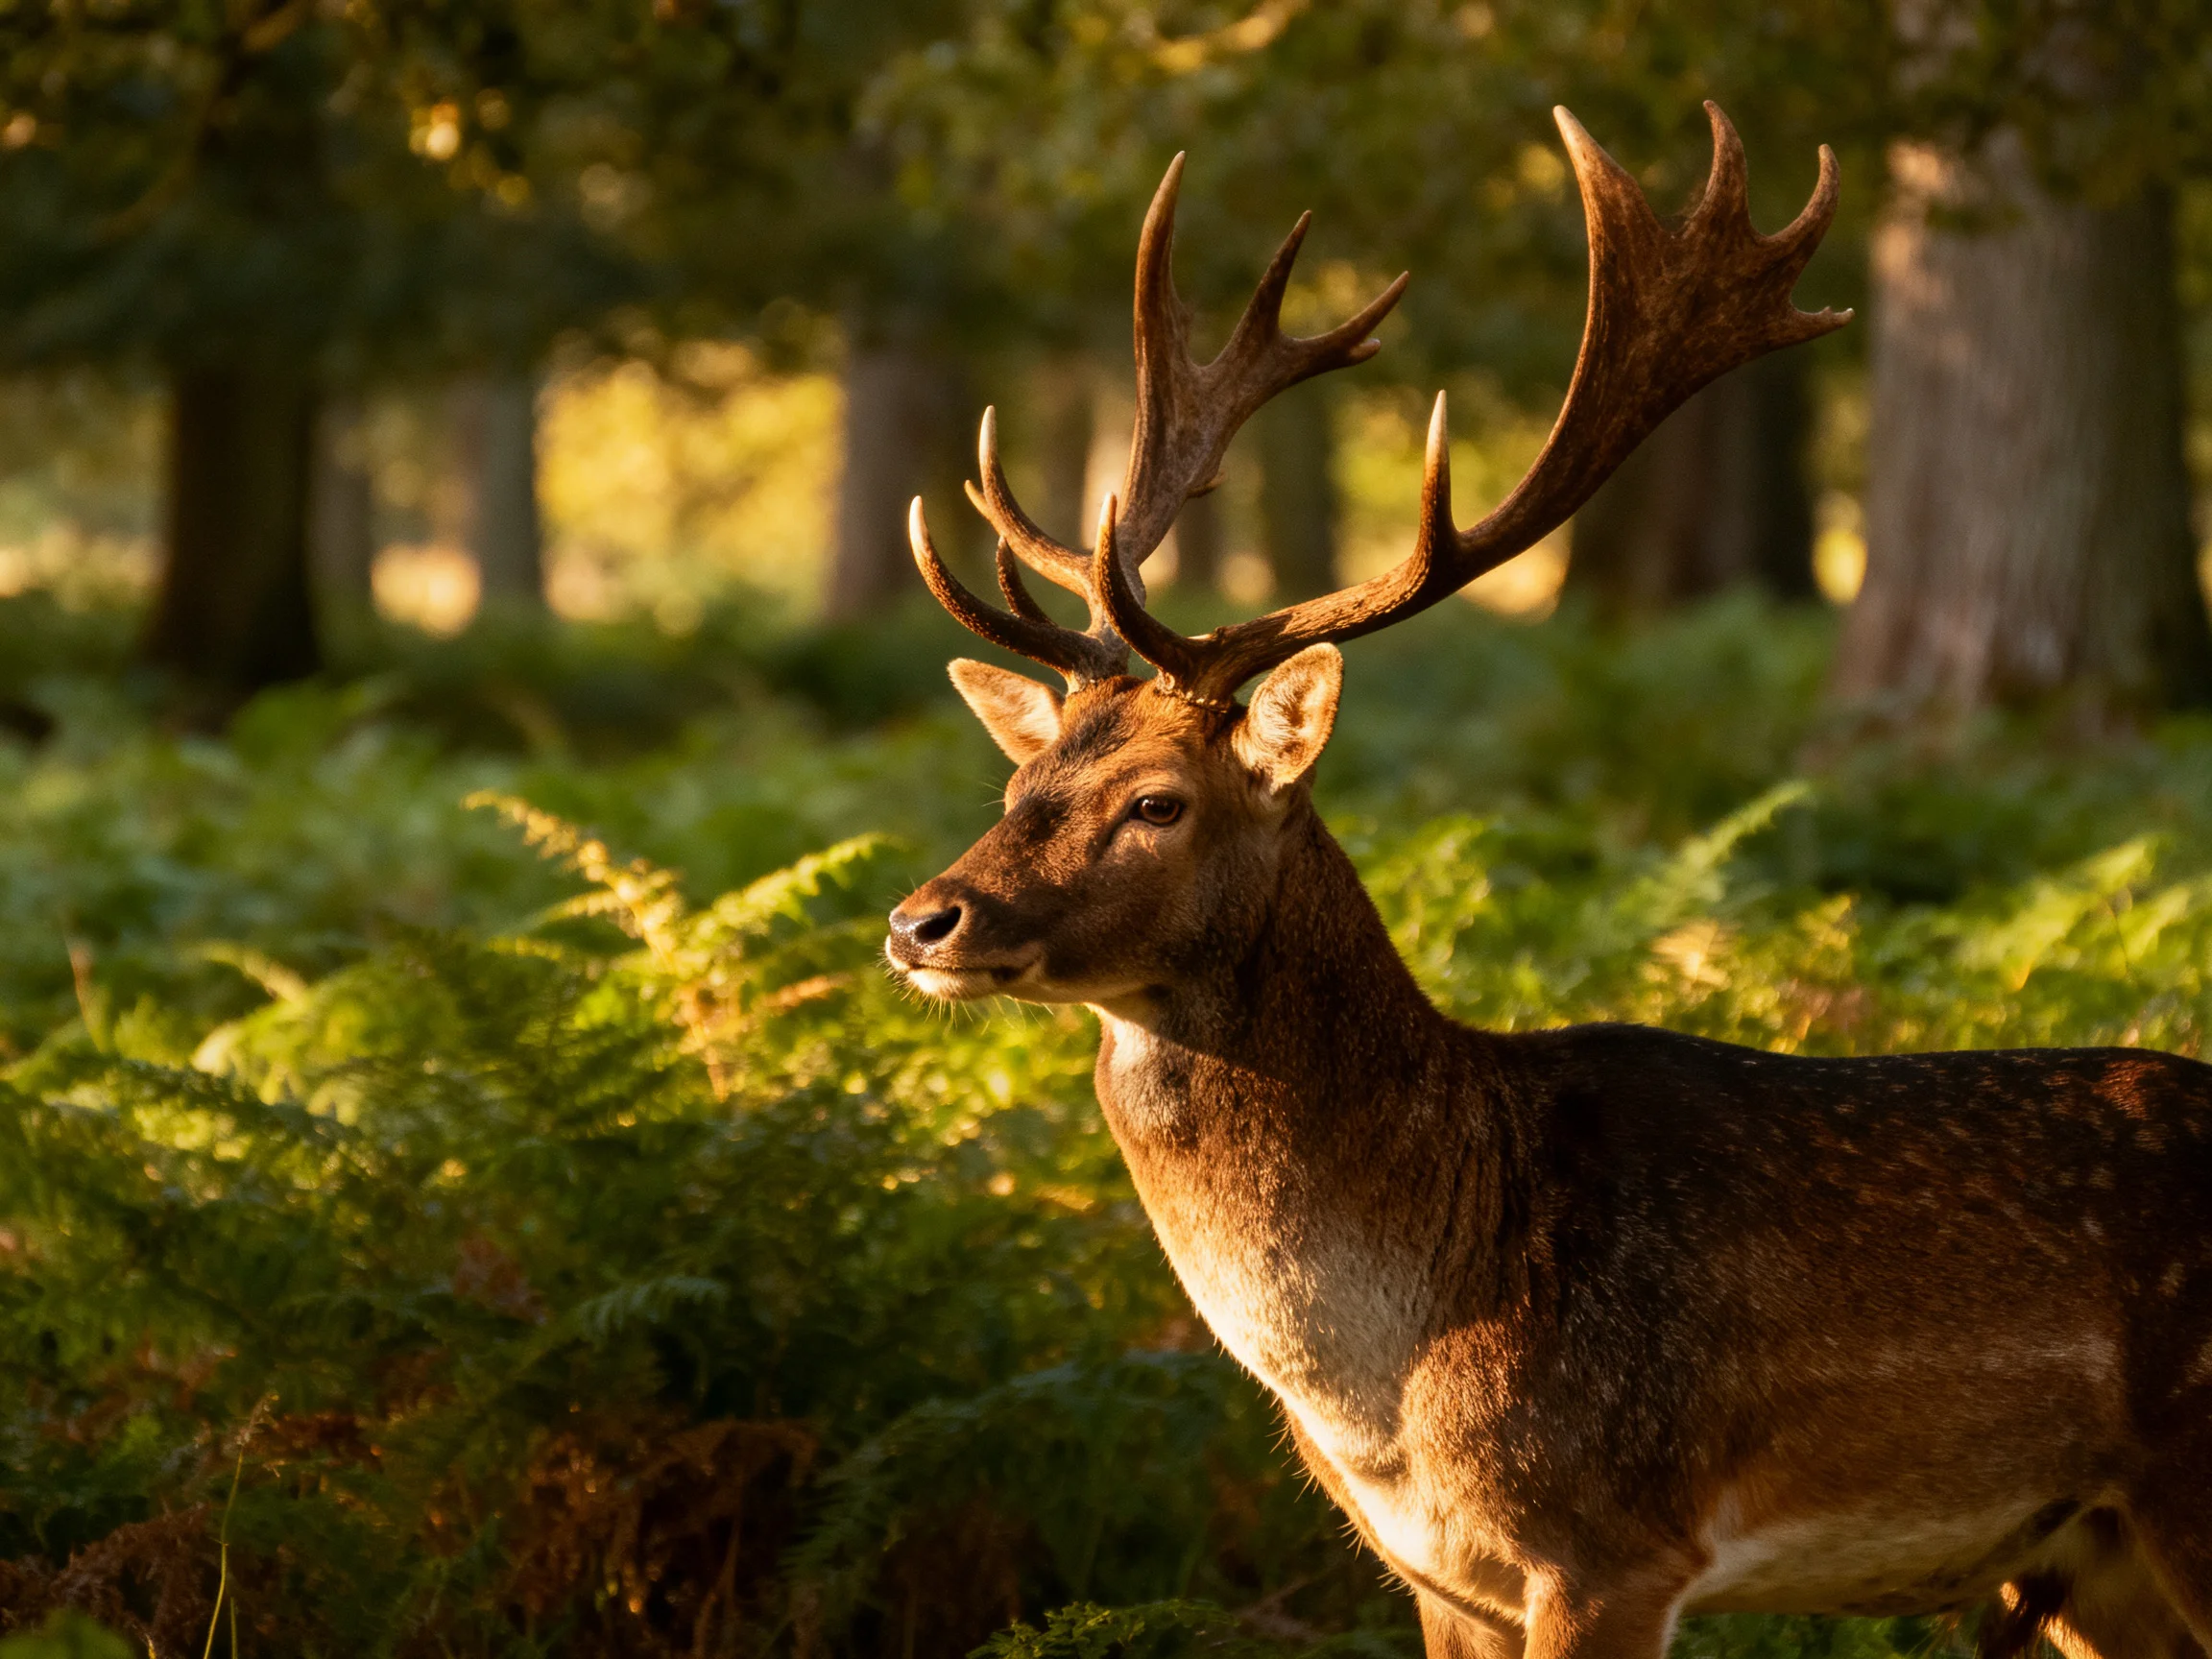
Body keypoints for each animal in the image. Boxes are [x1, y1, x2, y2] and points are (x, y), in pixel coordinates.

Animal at [881, 104, 2212, 1659]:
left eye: (1157, 801)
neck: (1399, 1375)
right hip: (2094, 1567)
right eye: (1016, 788)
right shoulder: (1440, 1575)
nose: (922, 920)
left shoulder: (1613, 1545)